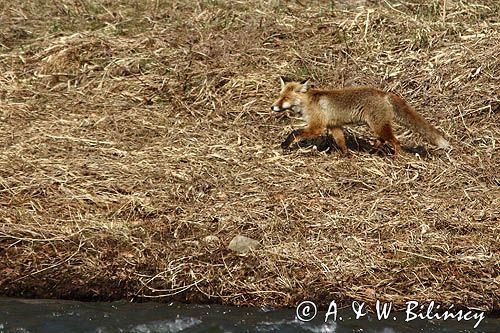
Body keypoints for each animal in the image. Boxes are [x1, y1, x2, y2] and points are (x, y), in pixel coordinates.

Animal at [272, 78, 452, 155]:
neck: (307, 103)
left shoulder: (317, 127)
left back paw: (399, 158)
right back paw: (372, 151)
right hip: (378, 126)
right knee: (383, 140)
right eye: (279, 96)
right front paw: (346, 155)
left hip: (378, 125)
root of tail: (384, 93)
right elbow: (341, 142)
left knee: (395, 142)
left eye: (285, 98)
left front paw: (285, 144)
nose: (273, 107)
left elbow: (295, 133)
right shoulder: (334, 126)